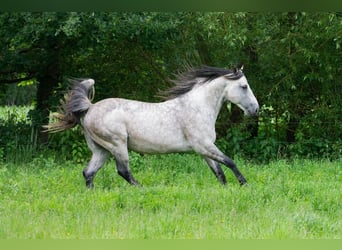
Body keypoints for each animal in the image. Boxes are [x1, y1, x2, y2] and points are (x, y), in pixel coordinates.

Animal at [45, 66, 260, 188]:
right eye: (244, 86)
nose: (256, 109)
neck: (197, 107)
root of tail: (89, 108)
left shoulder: (204, 149)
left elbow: (219, 171)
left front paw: (226, 189)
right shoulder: (204, 146)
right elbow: (230, 162)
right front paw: (244, 184)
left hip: (101, 150)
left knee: (89, 173)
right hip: (117, 145)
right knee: (123, 171)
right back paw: (142, 189)